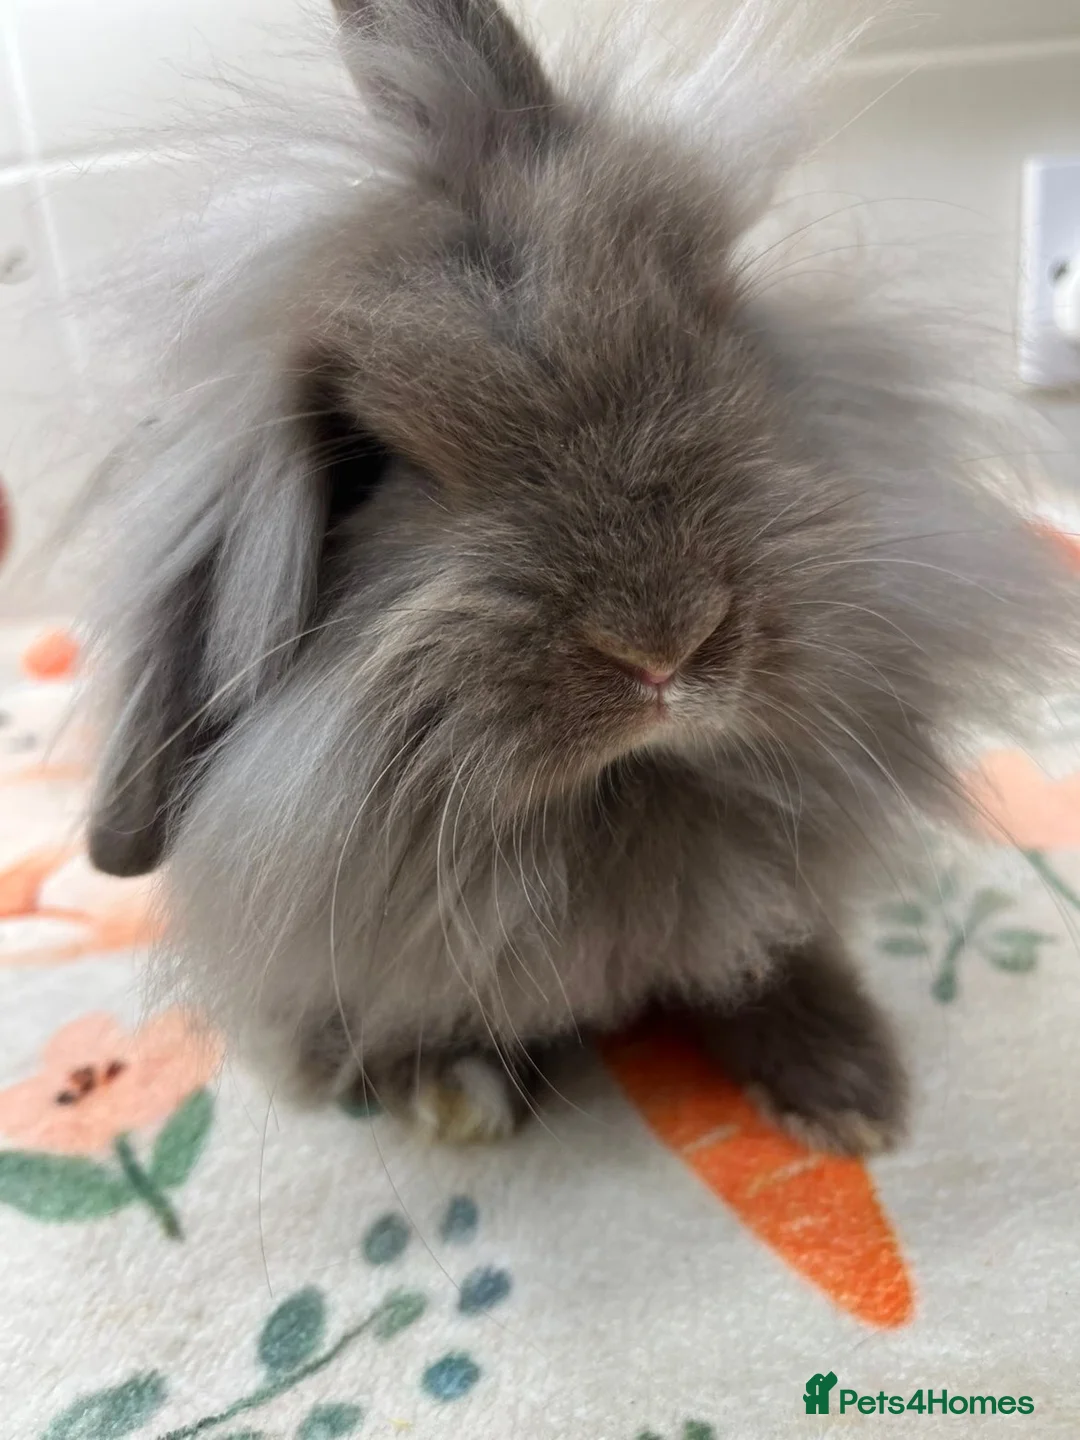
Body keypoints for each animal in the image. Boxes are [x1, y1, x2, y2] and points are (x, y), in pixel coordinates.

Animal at [79, 0, 1077, 1153]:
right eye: (364, 464)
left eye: (719, 324)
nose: (664, 646)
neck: (623, 797)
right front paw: (449, 1089)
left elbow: (769, 950)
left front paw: (849, 1097)